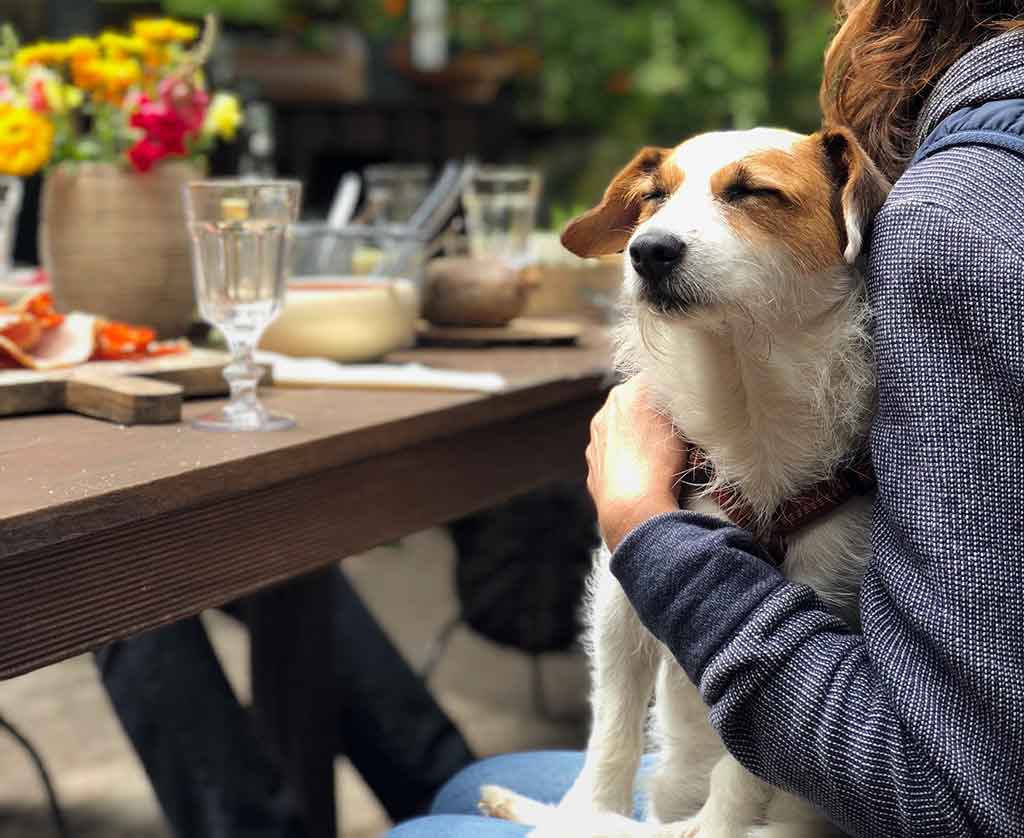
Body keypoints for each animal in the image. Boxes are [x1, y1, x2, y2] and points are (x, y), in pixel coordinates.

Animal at [479, 123, 888, 835]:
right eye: (653, 197)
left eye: (753, 191)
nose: (648, 250)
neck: (743, 392)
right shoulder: (621, 594)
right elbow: (612, 729)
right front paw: (588, 808)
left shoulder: (818, 597)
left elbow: (745, 771)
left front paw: (716, 820)